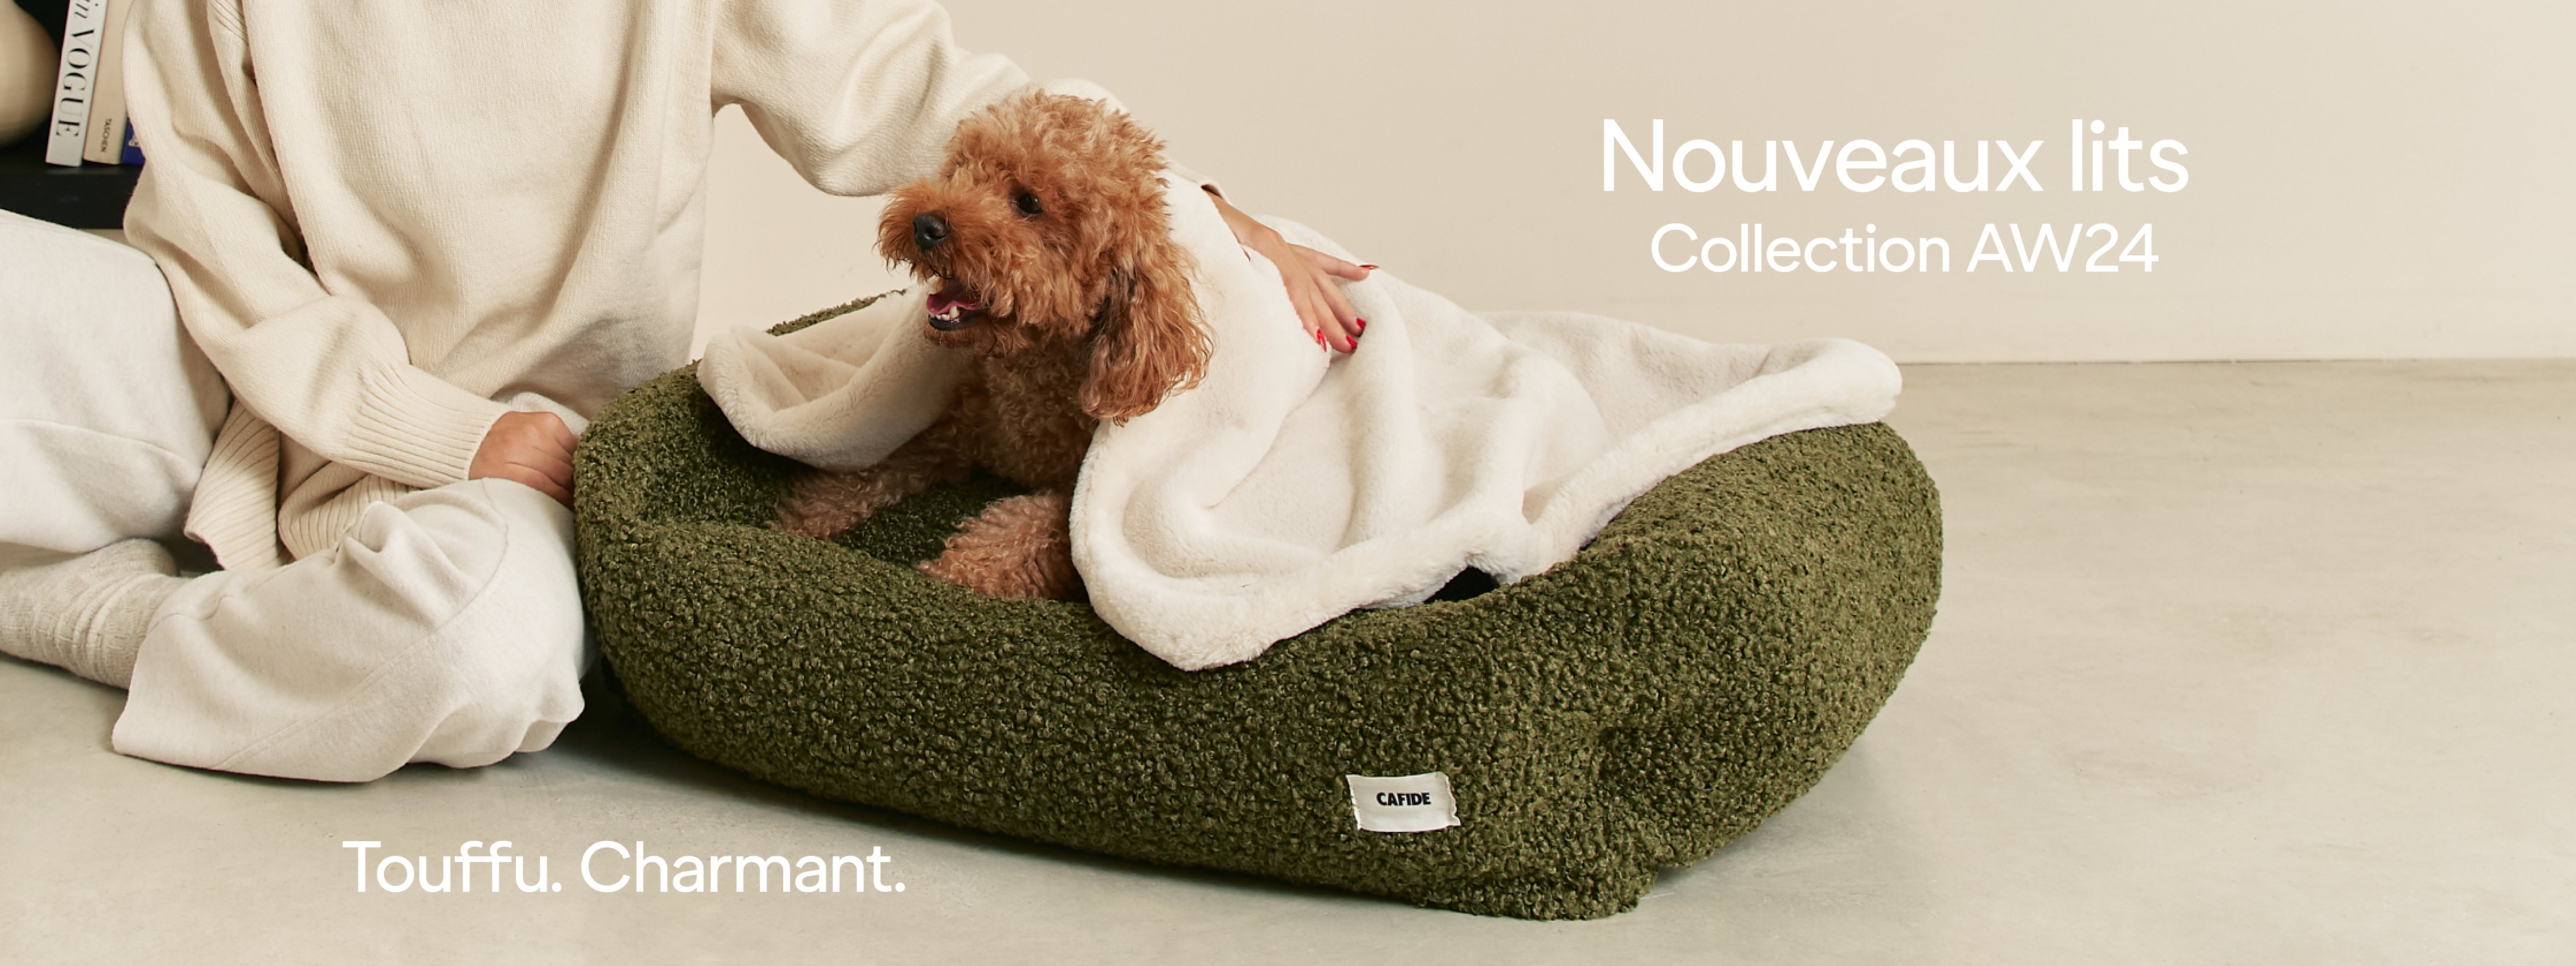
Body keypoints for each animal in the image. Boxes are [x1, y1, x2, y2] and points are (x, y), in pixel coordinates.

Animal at [773, 92, 1210, 600]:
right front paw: (804, 517)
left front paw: (954, 574)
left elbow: (1025, 529)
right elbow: (874, 468)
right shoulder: (950, 433)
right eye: (961, 170)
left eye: (1029, 202)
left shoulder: (1074, 498)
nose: (925, 224)